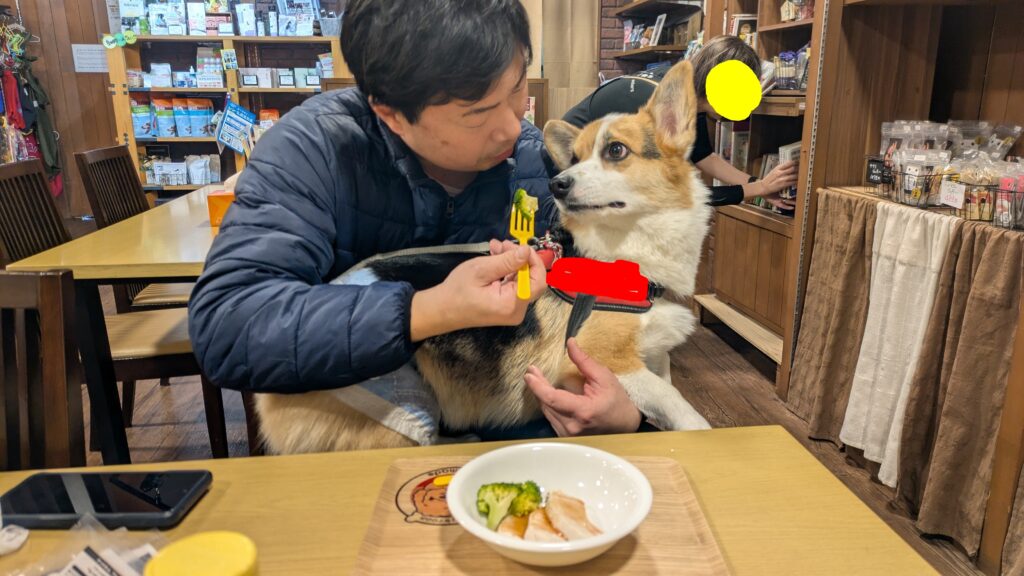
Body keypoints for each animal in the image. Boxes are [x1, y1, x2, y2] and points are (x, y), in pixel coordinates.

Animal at [253, 60, 713, 454]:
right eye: (575, 158)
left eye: (616, 151)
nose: (558, 184)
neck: (631, 252)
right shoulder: (601, 358)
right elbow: (680, 405)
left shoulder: (653, 356)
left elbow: (666, 385)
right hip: (398, 394)